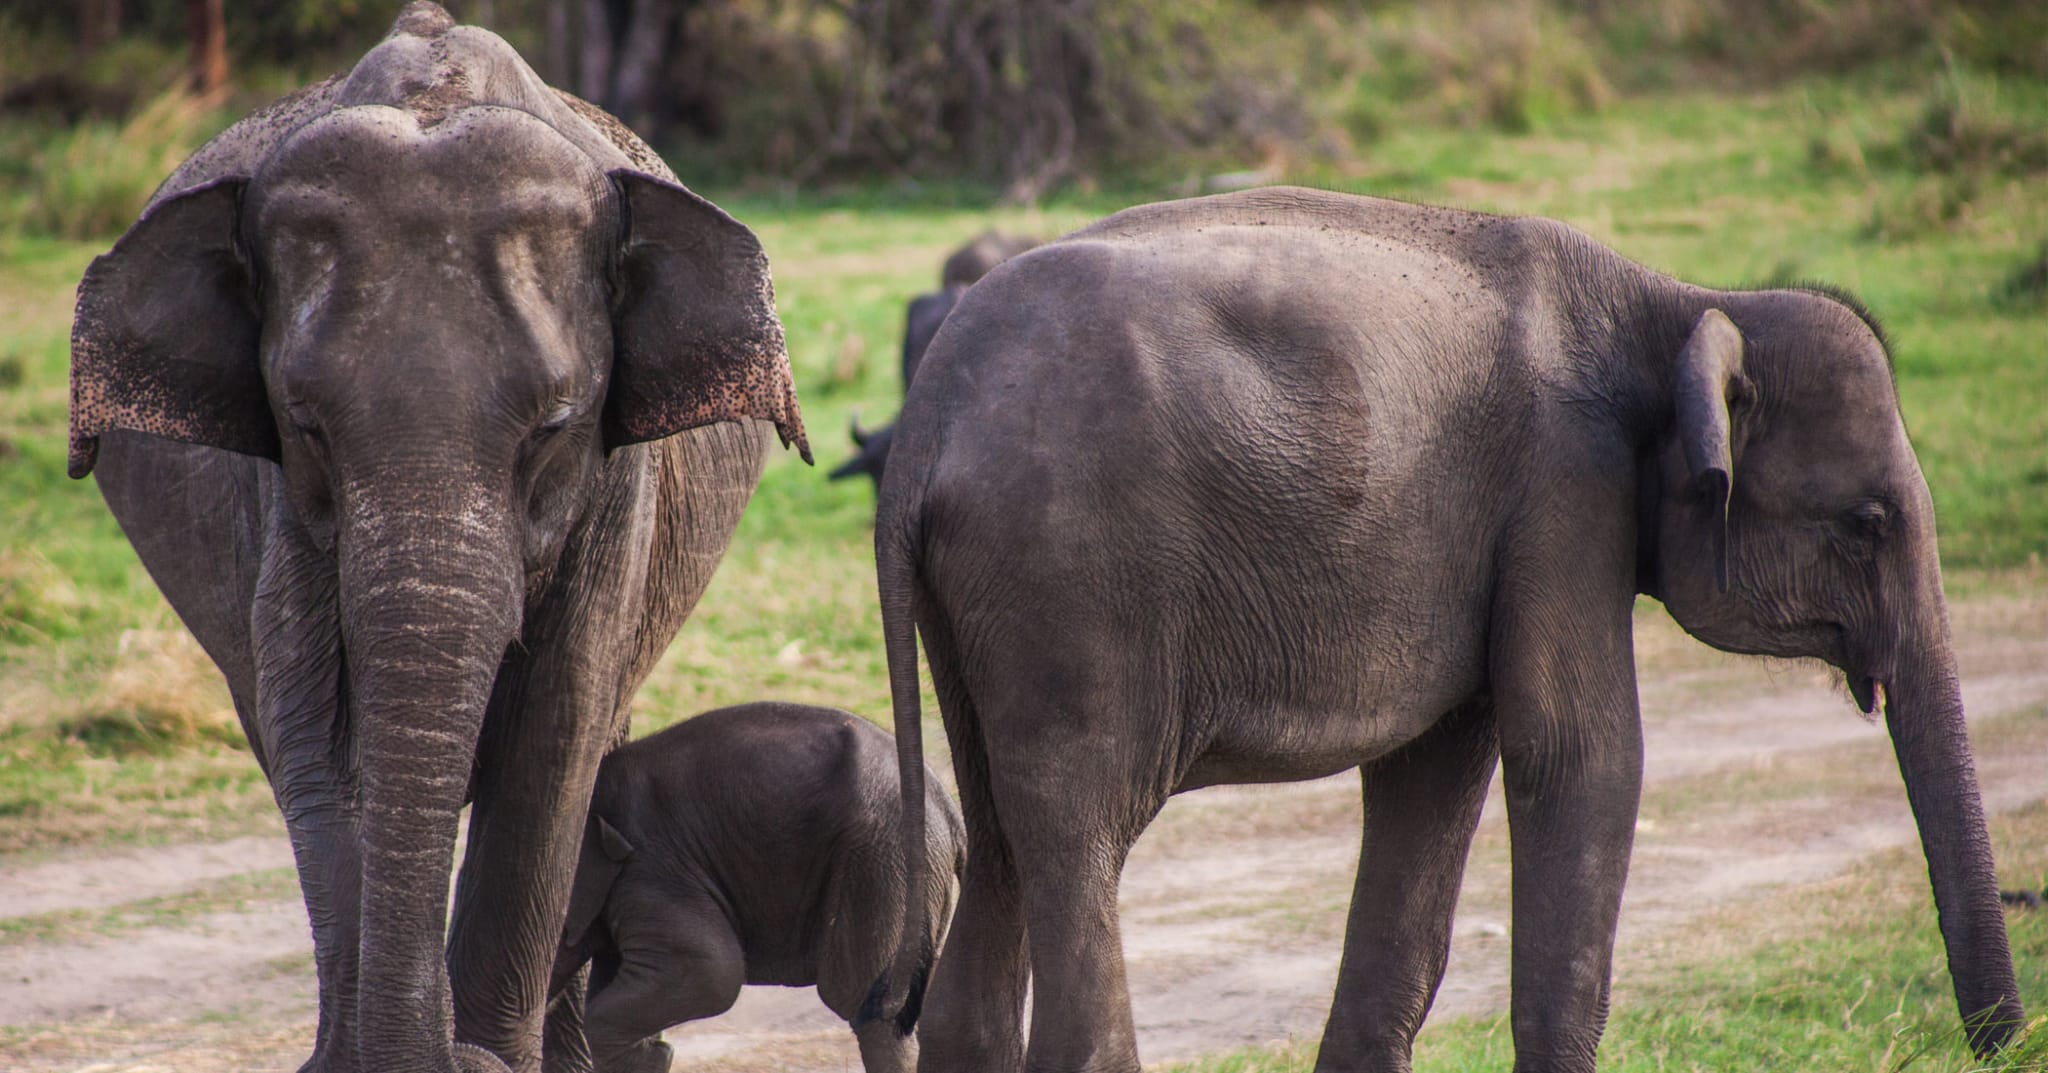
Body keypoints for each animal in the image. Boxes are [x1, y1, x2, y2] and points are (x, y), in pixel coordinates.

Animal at [64, 4, 802, 1064]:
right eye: (306, 425)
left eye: (553, 427)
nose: (450, 1047)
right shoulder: (279, 507)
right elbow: (316, 732)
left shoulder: (619, 488)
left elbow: (556, 730)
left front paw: (491, 1057)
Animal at [540, 704, 962, 1073]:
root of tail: (948, 806)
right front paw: (652, 1051)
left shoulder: (649, 870)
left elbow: (713, 969)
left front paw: (652, 1052)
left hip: (882, 865)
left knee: (868, 1011)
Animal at [872, 186, 2023, 1073]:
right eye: (1866, 523)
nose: (1999, 1042)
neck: (1677, 299)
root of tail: (925, 420)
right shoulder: (1566, 490)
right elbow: (1581, 755)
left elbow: (1433, 778)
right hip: (1069, 584)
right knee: (1078, 833)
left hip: (987, 607)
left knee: (1001, 838)